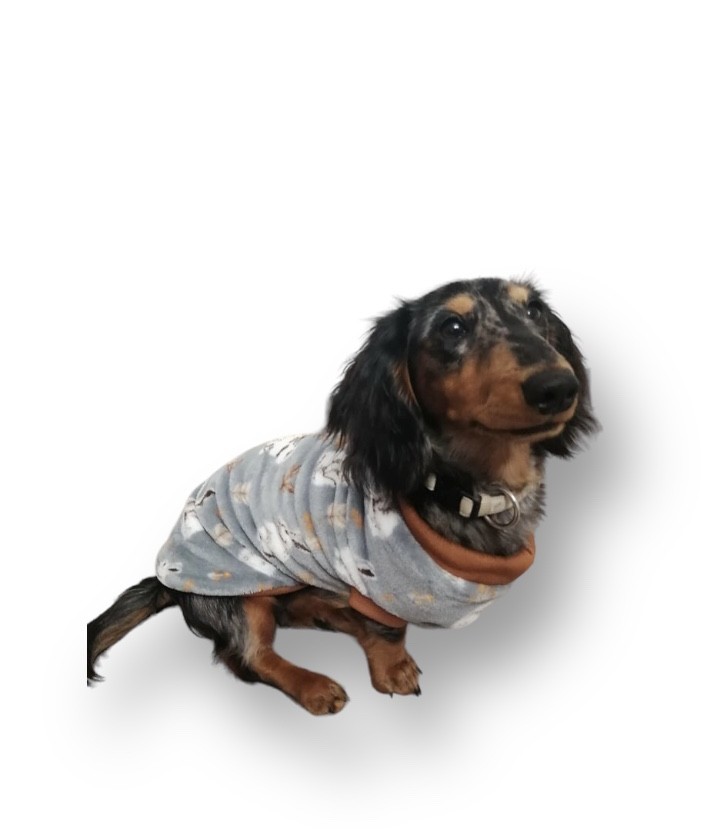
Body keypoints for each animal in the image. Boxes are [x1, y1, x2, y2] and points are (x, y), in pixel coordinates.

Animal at [87, 277, 596, 714]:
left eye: (534, 311)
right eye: (452, 327)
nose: (558, 387)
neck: (460, 485)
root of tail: (166, 579)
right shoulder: (377, 582)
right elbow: (387, 633)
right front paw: (394, 672)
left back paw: (332, 615)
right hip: (238, 592)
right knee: (250, 657)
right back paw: (313, 685)